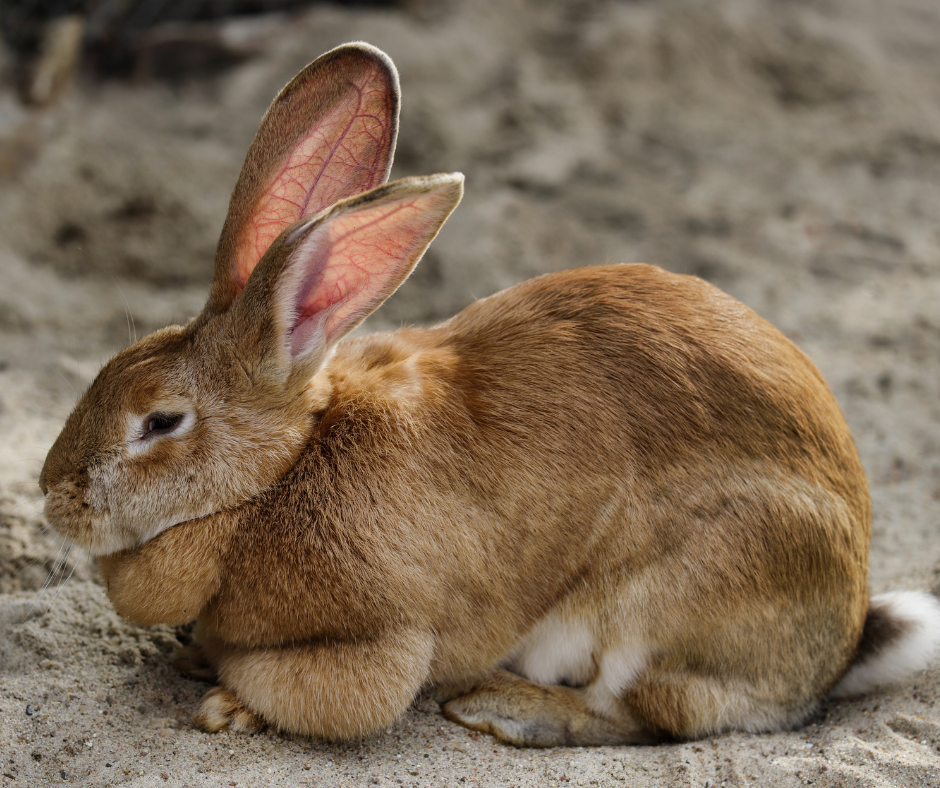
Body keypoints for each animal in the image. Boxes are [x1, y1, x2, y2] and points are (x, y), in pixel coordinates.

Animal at [39, 41, 940, 747]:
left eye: (161, 420)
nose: (54, 497)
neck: (274, 478)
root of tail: (839, 641)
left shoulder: (383, 643)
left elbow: (327, 697)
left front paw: (229, 705)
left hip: (678, 597)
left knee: (647, 712)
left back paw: (509, 710)